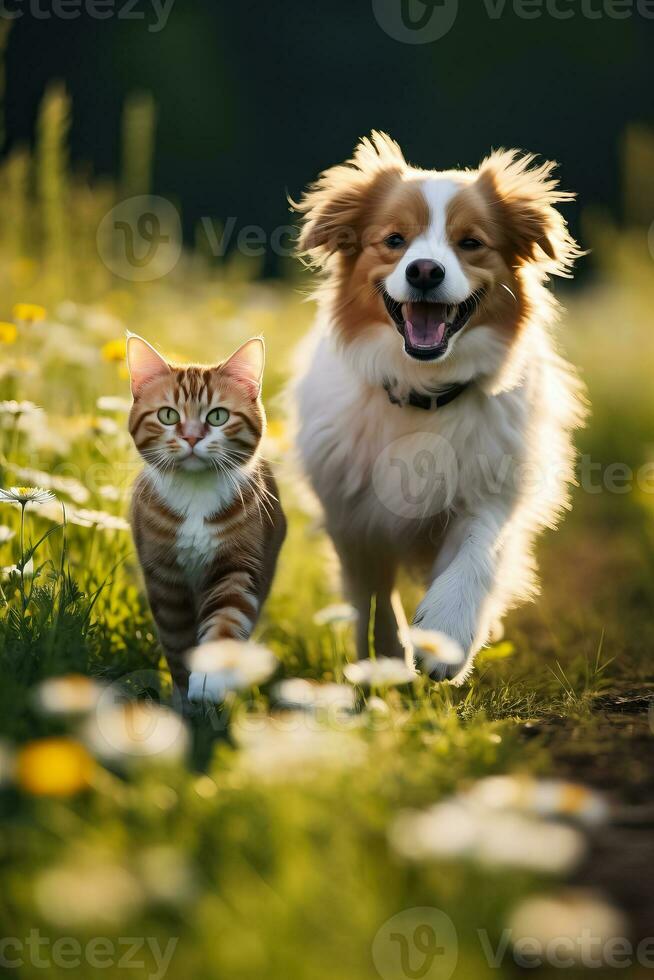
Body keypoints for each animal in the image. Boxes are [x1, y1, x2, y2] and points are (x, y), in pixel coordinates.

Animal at [127, 334, 286, 700]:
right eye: (168, 415)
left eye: (217, 417)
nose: (191, 436)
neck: (196, 493)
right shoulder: (165, 579)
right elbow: (177, 642)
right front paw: (185, 697)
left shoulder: (240, 564)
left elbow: (227, 618)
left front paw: (210, 679)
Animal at [294, 130, 588, 680]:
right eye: (394, 240)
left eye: (470, 243)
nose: (425, 270)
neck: (422, 390)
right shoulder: (352, 517)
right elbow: (373, 598)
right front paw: (383, 662)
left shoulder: (493, 487)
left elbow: (476, 553)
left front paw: (447, 632)